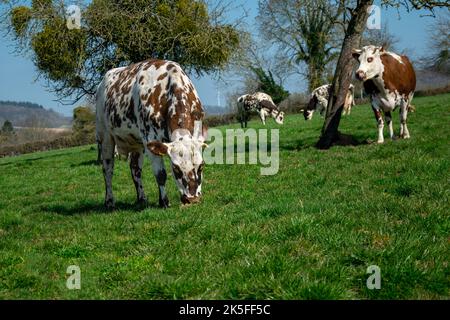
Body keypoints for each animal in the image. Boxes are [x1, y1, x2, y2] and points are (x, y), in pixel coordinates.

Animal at [96, 59, 207, 210]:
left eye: (201, 166)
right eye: (175, 168)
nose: (192, 199)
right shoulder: (150, 138)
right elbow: (161, 174)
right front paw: (164, 202)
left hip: (137, 142)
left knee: (135, 169)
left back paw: (141, 198)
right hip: (105, 137)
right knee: (107, 170)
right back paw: (109, 201)